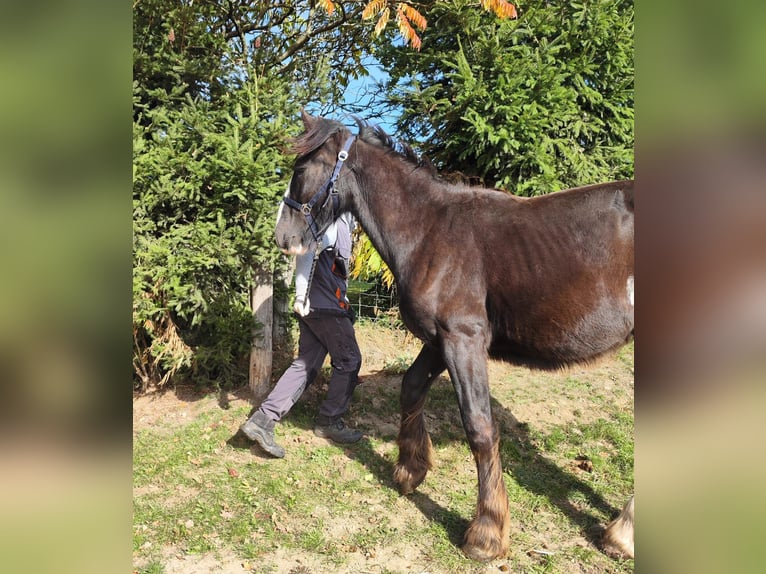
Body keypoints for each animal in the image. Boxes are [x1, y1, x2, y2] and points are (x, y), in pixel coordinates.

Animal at [275, 110, 634, 561]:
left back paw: (621, 534)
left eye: (301, 168)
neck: (430, 230)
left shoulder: (463, 340)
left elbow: (480, 428)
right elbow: (411, 389)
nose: (283, 237)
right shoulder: (438, 340)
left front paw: (485, 534)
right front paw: (410, 470)